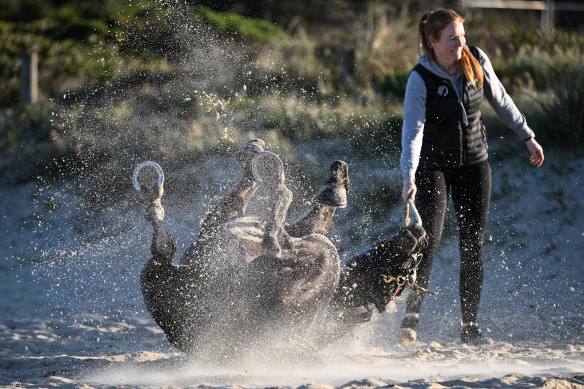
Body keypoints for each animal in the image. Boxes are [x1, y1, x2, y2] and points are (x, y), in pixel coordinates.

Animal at [137, 139, 428, 358]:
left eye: (400, 263)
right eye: (388, 250)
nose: (418, 232)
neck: (354, 292)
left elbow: (319, 213)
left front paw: (335, 186)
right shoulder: (297, 228)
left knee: (277, 239)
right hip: (154, 273)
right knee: (163, 248)